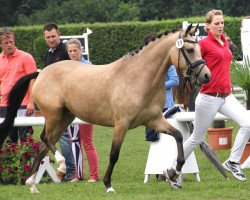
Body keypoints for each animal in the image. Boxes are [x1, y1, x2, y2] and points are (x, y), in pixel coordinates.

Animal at [0, 24, 211, 193]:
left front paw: (174, 172)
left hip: (65, 118)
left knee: (44, 145)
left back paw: (32, 184)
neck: (139, 77)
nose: (206, 76)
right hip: (53, 115)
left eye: (199, 48)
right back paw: (59, 166)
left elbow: (178, 136)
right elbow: (114, 154)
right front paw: (108, 185)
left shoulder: (154, 120)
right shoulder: (121, 124)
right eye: (190, 49)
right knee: (45, 138)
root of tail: (41, 73)